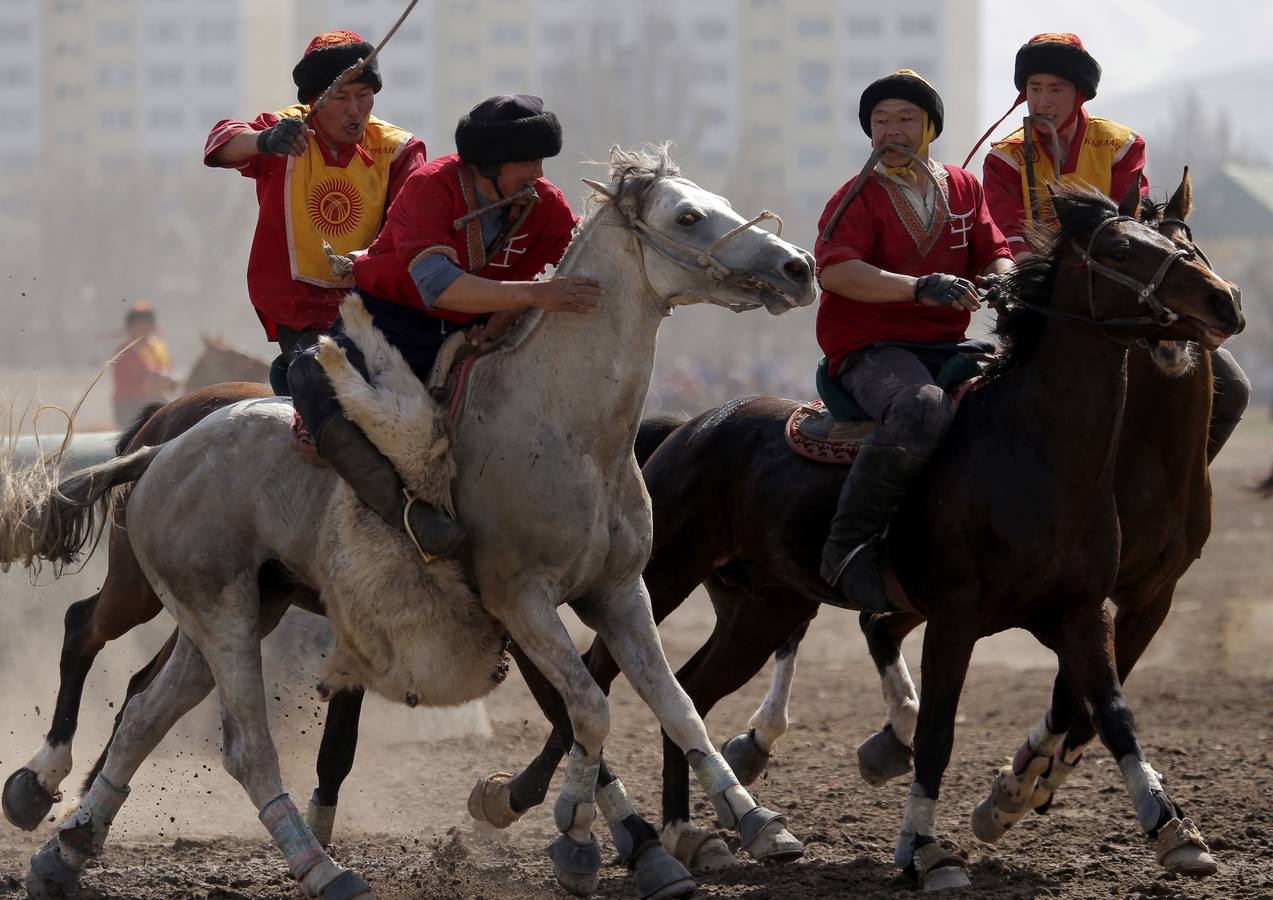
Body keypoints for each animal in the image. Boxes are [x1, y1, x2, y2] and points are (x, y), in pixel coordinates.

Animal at [0, 145, 816, 900]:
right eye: (688, 216)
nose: (798, 266)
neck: (568, 432)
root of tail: (160, 449)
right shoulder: (520, 601)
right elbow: (586, 706)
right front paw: (578, 839)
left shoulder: (620, 594)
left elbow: (671, 708)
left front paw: (750, 823)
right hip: (208, 605)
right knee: (229, 735)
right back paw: (315, 866)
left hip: (235, 609)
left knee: (146, 712)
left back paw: (64, 850)